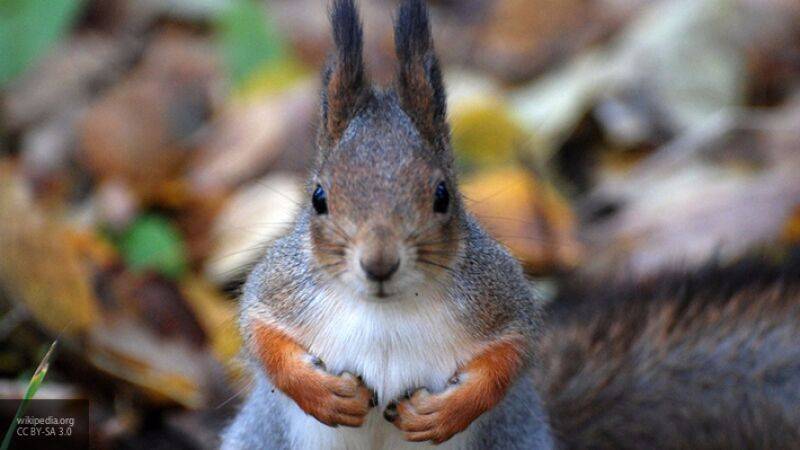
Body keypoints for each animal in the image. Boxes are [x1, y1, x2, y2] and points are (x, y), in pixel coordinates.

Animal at [222, 0, 552, 450]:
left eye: (442, 195)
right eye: (319, 197)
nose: (379, 263)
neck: (385, 311)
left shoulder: (496, 295)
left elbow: (513, 352)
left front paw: (442, 414)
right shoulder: (282, 286)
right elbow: (259, 332)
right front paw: (324, 395)